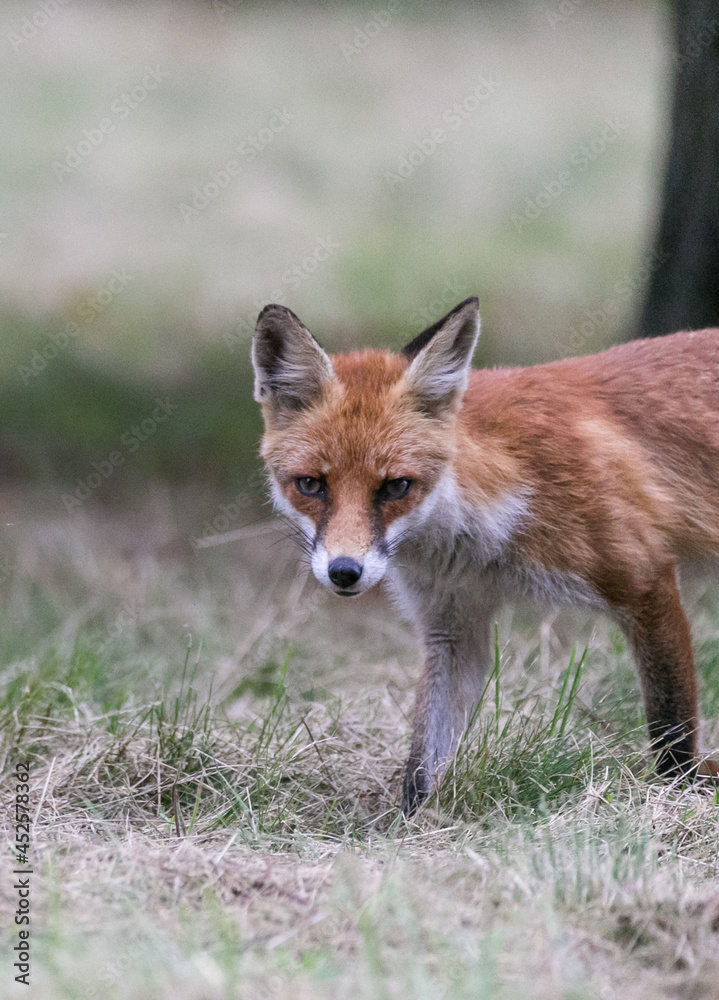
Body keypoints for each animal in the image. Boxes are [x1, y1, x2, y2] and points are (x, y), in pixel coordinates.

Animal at [252, 296, 719, 812]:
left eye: (396, 486)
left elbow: (672, 731)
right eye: (310, 484)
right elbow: (422, 764)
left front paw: (676, 796)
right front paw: (413, 826)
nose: (344, 572)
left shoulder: (645, 581)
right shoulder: (453, 628)